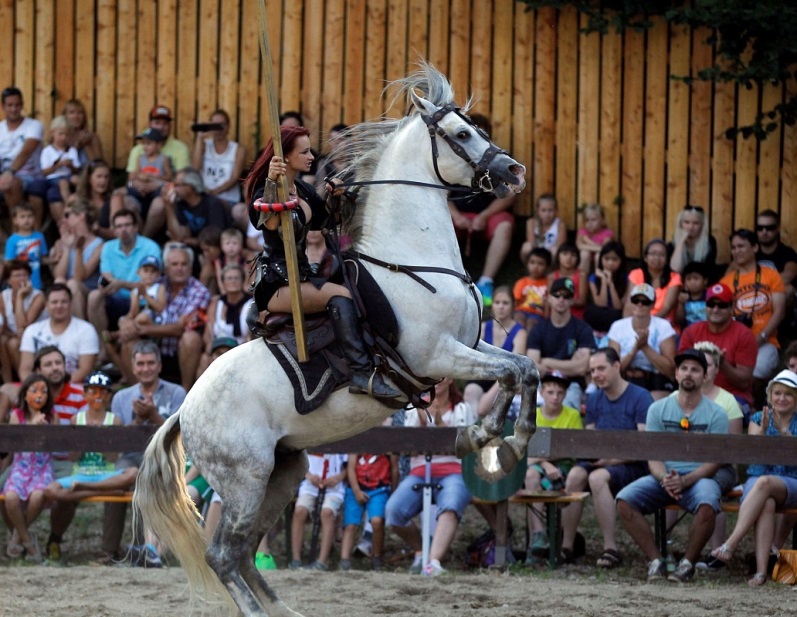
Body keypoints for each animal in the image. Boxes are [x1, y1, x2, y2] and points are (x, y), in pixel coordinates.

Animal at [134, 63, 536, 616]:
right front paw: (484, 439)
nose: (515, 172)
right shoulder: (438, 356)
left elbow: (526, 369)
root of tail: (185, 411)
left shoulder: (470, 348)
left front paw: (507, 446)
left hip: (284, 470)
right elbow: (512, 374)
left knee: (245, 551)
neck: (411, 260)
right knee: (223, 555)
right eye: (460, 135)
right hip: (245, 479)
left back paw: (285, 612)